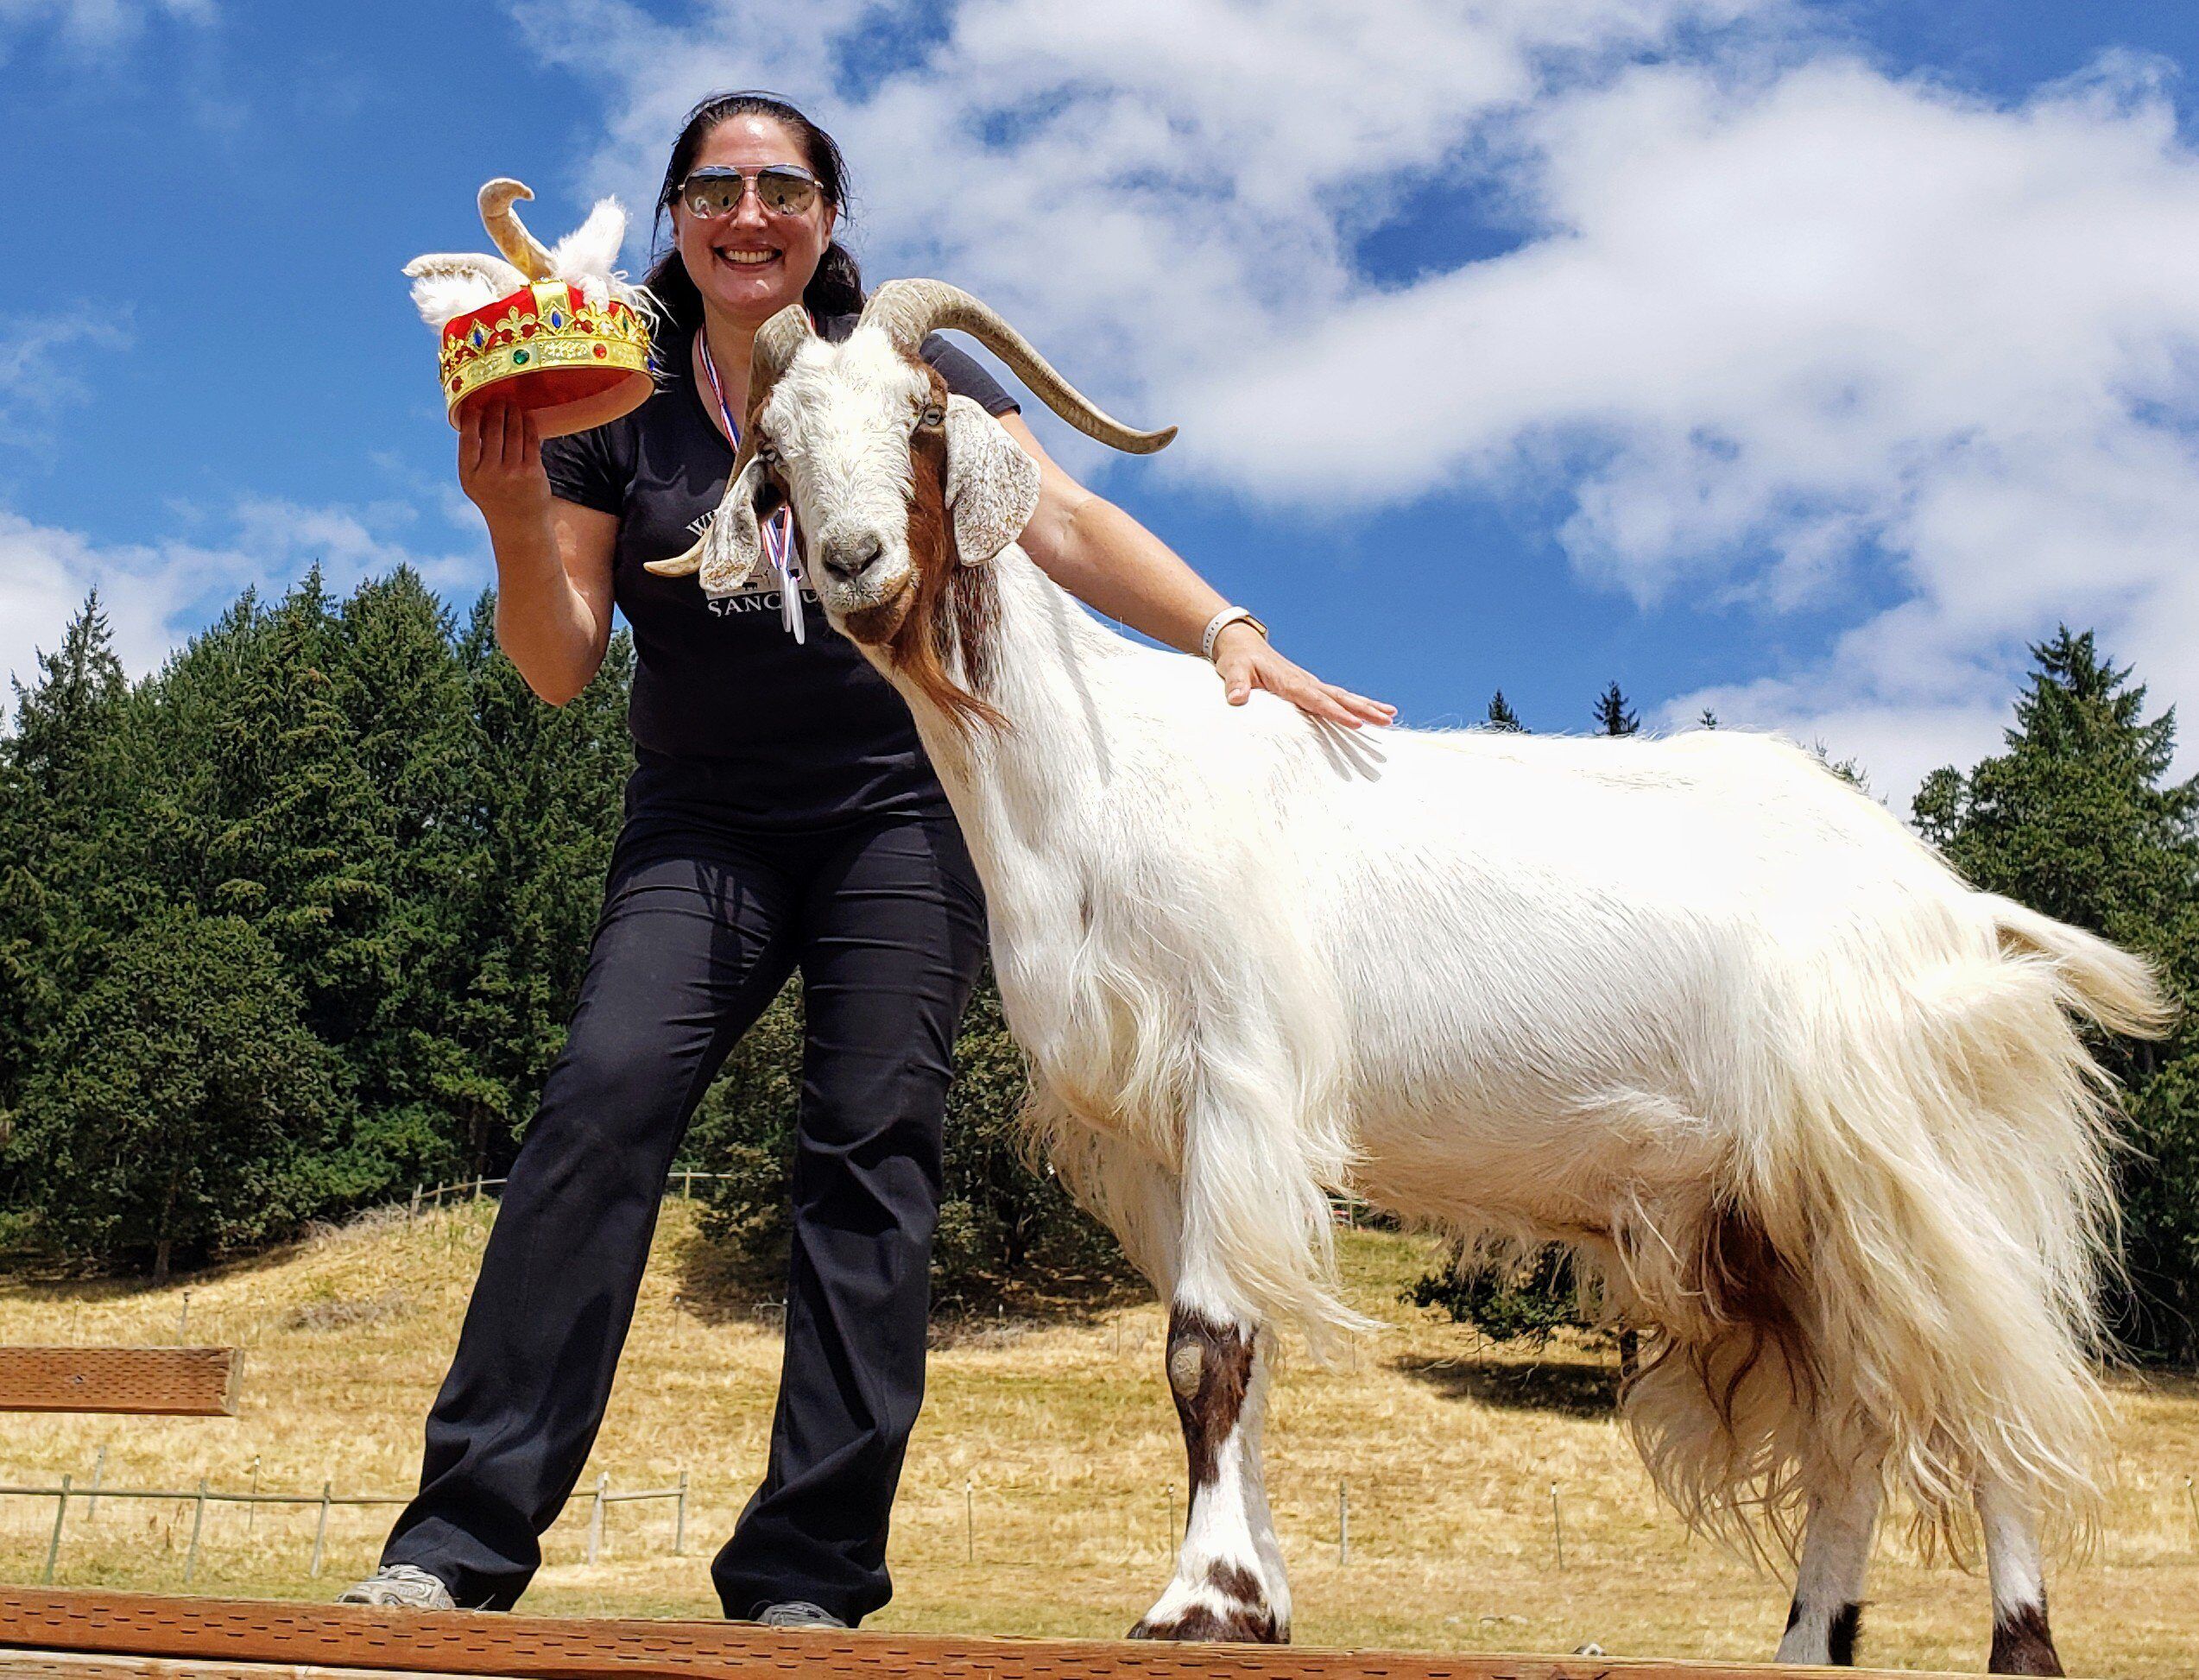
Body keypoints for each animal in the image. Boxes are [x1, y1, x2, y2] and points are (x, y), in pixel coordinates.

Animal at [648, 282, 2174, 1673]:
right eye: (774, 445)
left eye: (917, 415)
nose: (853, 560)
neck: (1095, 768)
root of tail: (1958, 911)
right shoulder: (1156, 1132)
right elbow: (1233, 1358)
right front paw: (1256, 1600)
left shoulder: (1240, 1069)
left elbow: (1206, 1348)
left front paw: (1194, 1602)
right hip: (1781, 1215)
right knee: (1856, 1418)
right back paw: (1804, 1647)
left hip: (1910, 1167)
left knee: (1985, 1385)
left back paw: (2019, 1644)